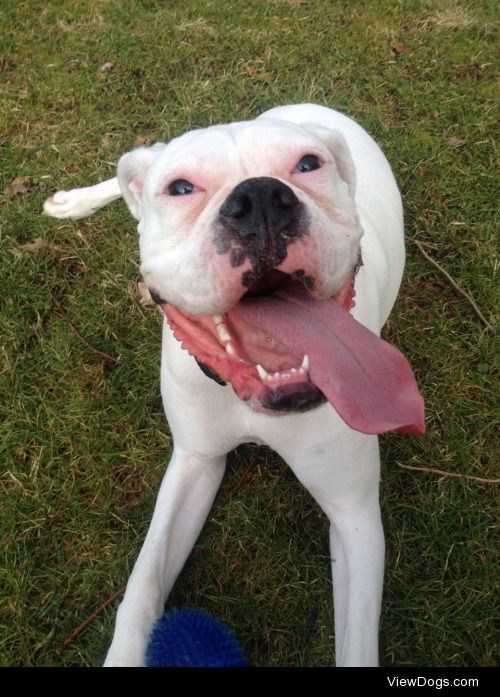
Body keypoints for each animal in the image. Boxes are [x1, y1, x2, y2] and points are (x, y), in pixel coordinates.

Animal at [44, 102, 426, 664]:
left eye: (308, 164)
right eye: (181, 188)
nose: (261, 197)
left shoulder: (354, 515)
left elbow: (357, 645)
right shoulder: (194, 462)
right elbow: (142, 587)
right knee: (130, 172)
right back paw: (75, 200)